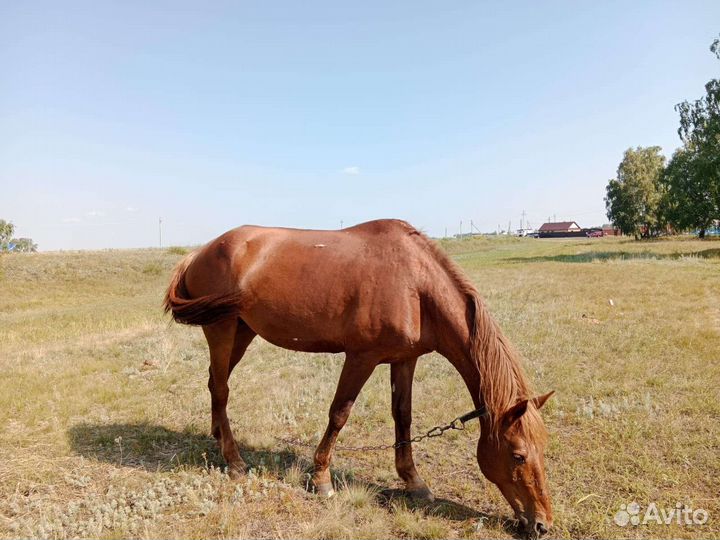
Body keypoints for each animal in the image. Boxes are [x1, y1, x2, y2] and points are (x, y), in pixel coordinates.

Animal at [164, 219, 554, 539]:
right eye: (518, 455)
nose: (542, 524)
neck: (415, 285)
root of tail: (200, 251)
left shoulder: (405, 359)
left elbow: (403, 416)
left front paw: (414, 482)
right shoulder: (361, 358)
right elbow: (339, 413)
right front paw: (321, 478)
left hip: (242, 331)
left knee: (215, 382)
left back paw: (218, 436)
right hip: (222, 329)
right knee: (221, 388)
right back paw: (234, 461)